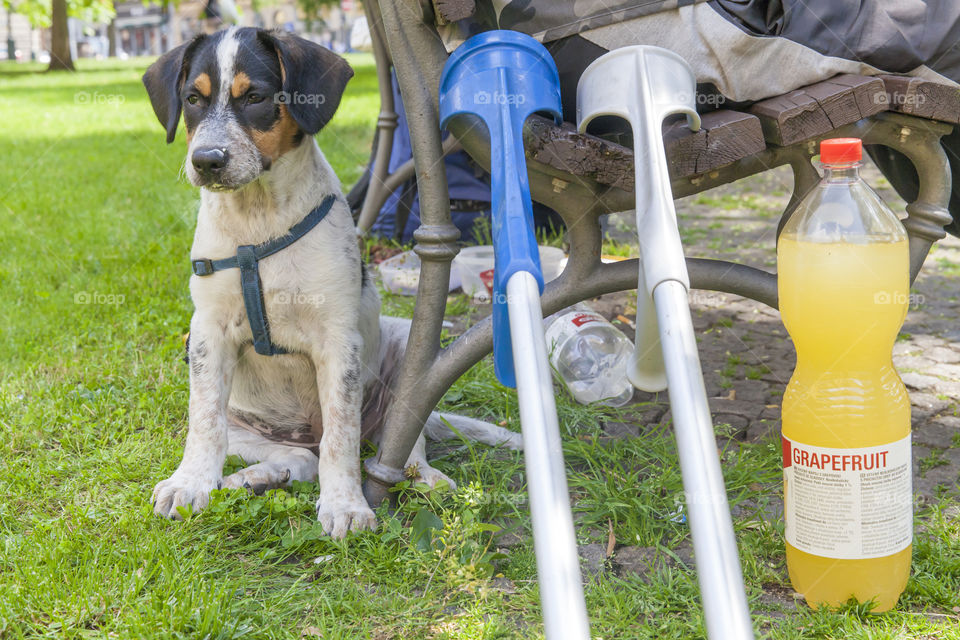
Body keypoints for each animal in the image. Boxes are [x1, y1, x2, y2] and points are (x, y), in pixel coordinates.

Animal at [142, 27, 520, 536]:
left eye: (256, 97)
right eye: (193, 99)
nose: (206, 161)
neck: (257, 222)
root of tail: (305, 432)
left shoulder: (338, 341)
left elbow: (342, 437)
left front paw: (345, 505)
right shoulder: (207, 333)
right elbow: (204, 424)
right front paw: (191, 483)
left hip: (406, 357)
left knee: (400, 441)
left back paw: (425, 476)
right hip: (248, 427)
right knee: (299, 458)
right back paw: (253, 477)